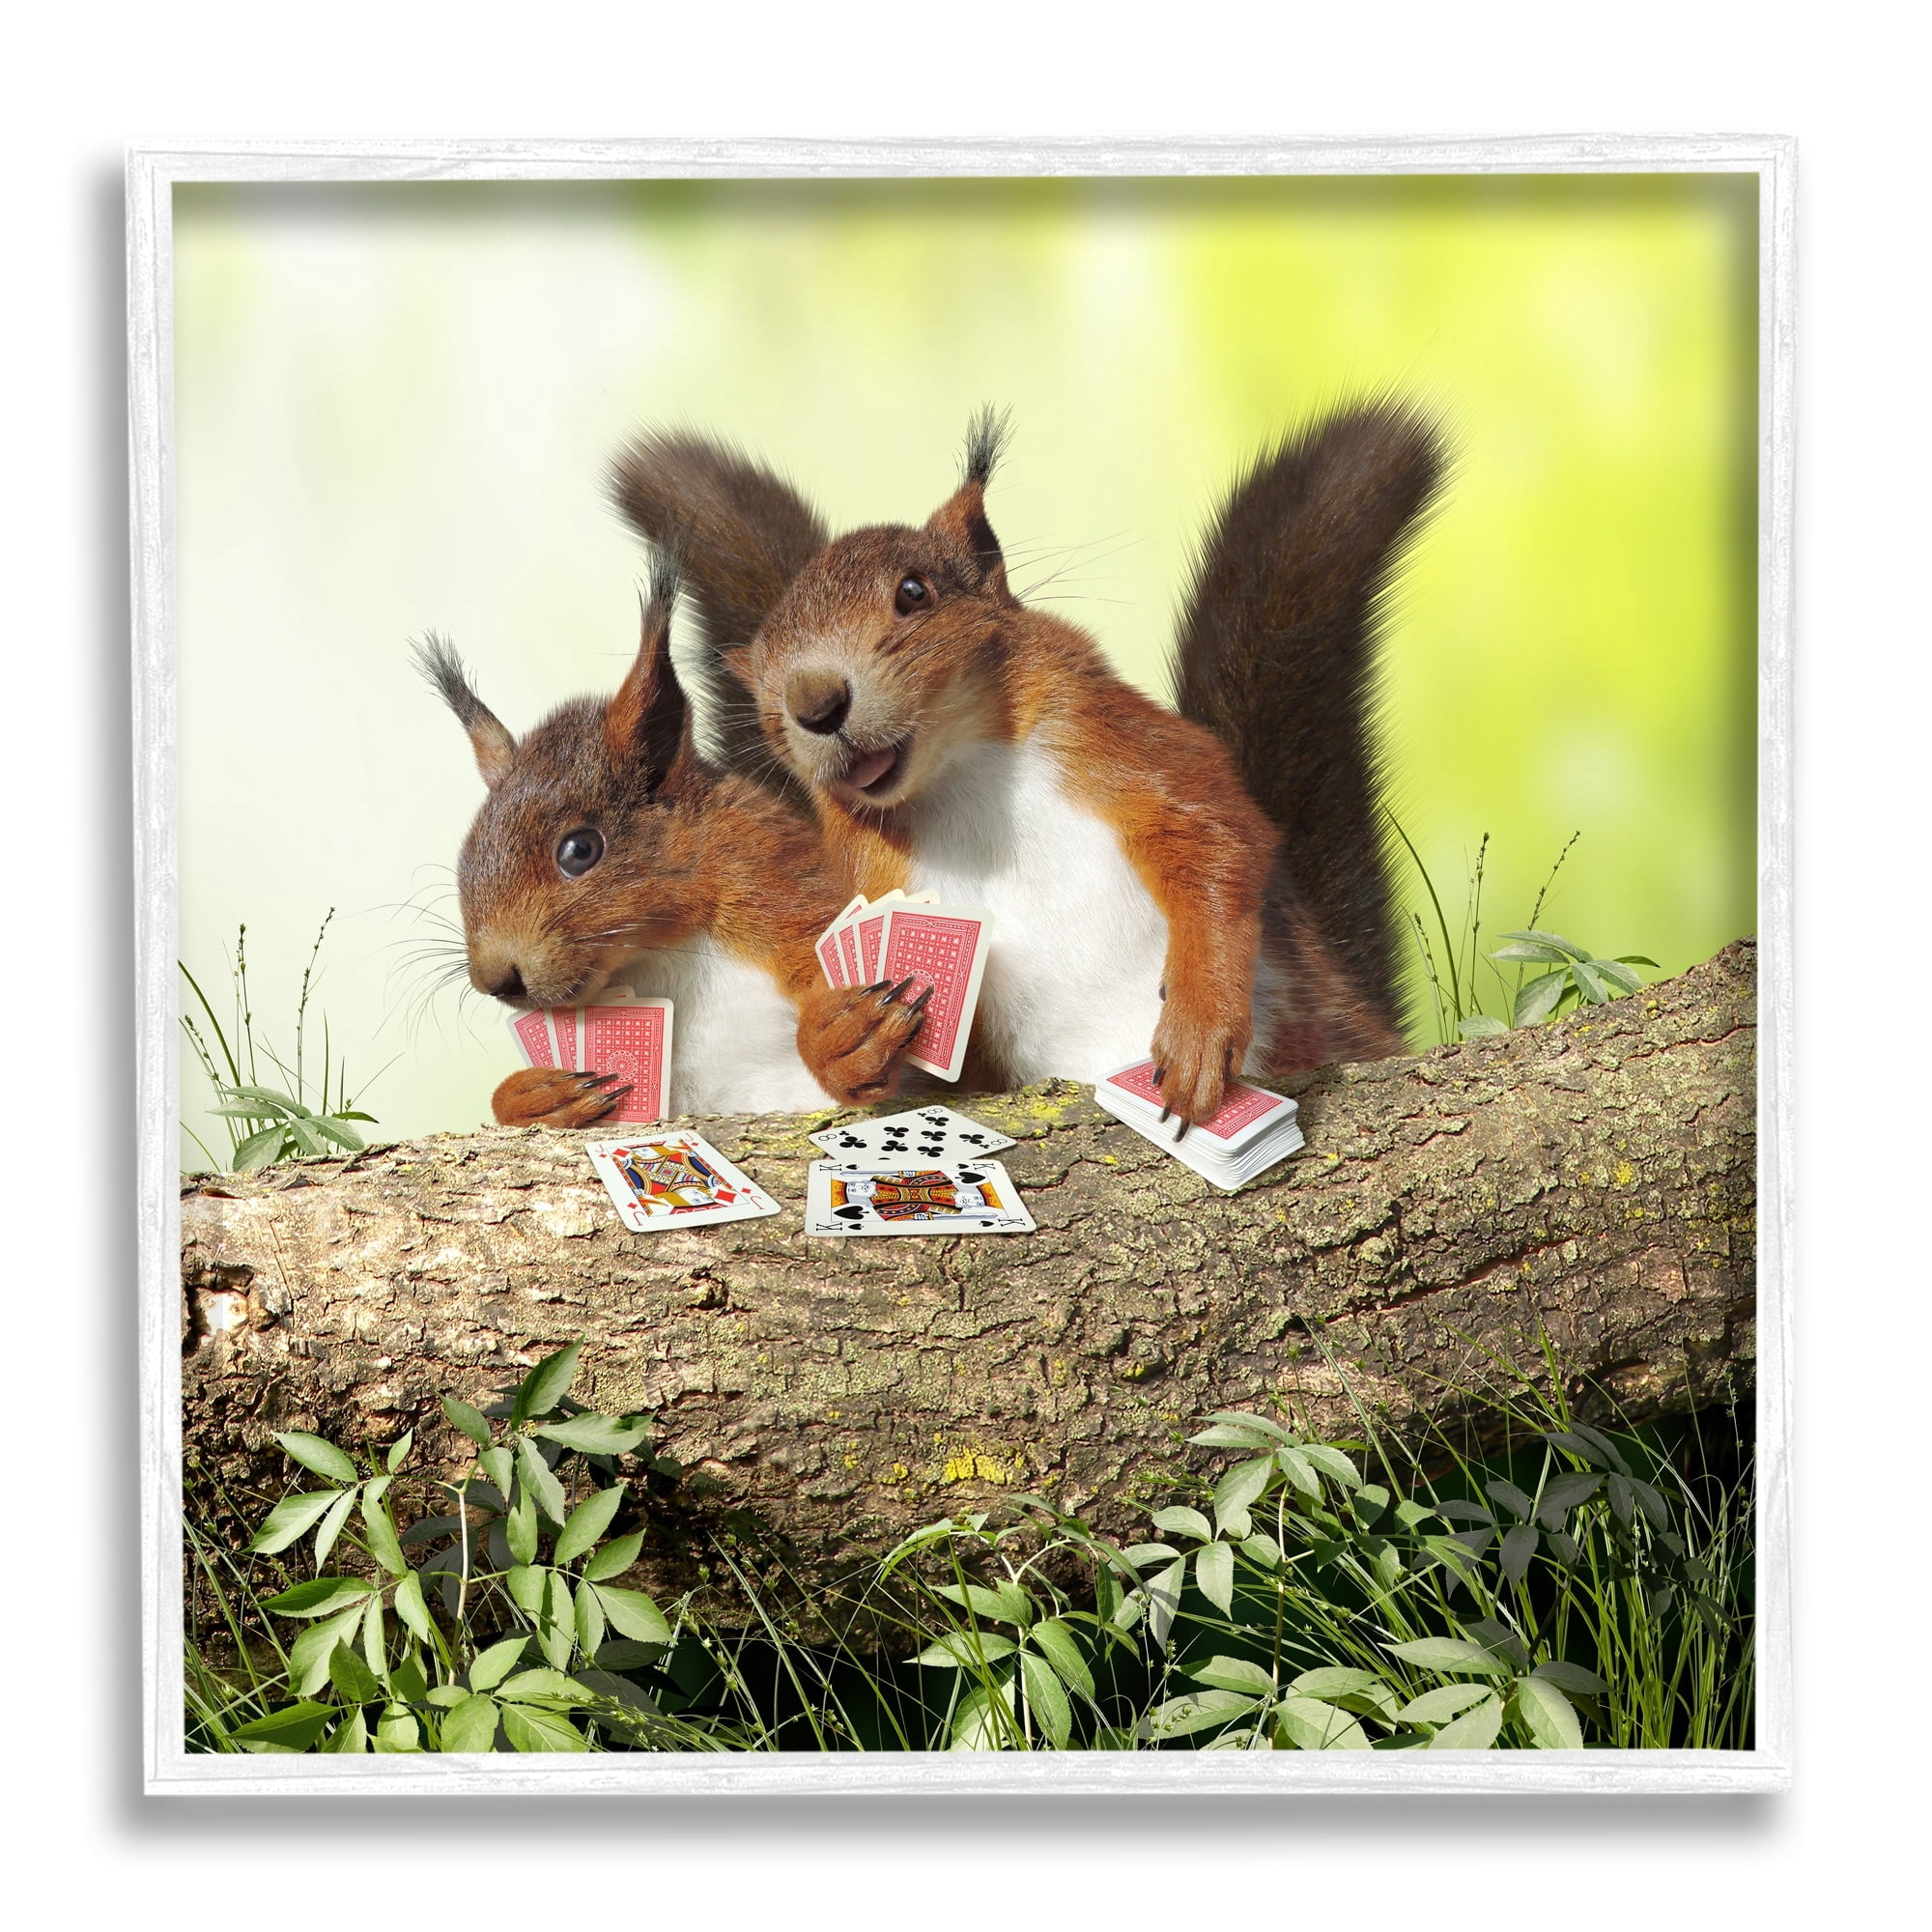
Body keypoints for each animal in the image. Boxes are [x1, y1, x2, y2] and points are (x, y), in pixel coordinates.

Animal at [413, 555, 927, 1128]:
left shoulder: (770, 878)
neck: (658, 951)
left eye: (580, 850)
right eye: (466, 854)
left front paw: (844, 1037)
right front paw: (535, 1094)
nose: (495, 980)